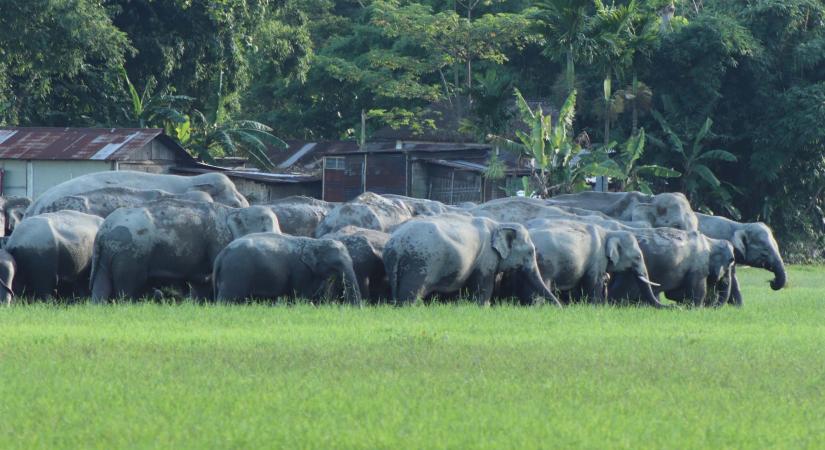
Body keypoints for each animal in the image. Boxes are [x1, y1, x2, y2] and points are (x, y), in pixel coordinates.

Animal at [90, 199, 280, 302]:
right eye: (265, 229)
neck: (233, 211)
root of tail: (103, 230)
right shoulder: (218, 240)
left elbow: (202, 282)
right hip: (130, 254)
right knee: (128, 287)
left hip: (108, 255)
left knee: (101, 287)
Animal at [213, 232, 362, 305]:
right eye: (336, 263)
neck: (314, 242)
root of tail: (221, 255)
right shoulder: (300, 270)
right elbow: (301, 295)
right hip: (235, 272)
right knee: (228, 299)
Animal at [383, 213, 561, 306]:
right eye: (530, 252)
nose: (560, 309)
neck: (499, 224)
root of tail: (396, 244)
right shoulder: (486, 258)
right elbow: (484, 285)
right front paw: (484, 308)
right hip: (419, 264)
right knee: (412, 294)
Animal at [513, 220, 664, 307]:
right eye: (638, 257)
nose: (670, 307)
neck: (609, 232)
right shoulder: (597, 257)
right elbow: (593, 281)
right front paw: (596, 306)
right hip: (544, 263)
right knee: (543, 283)